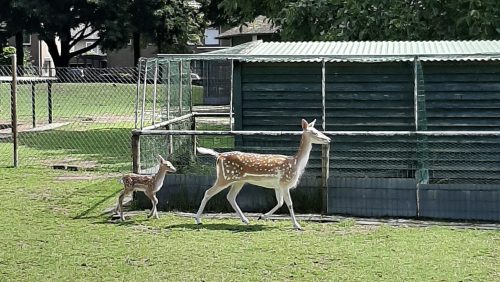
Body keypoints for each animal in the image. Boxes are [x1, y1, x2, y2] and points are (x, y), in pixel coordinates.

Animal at [194, 118, 328, 230]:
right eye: (314, 132)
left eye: (318, 130)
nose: (328, 139)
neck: (295, 163)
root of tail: (219, 155)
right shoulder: (285, 182)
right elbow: (289, 204)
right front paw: (297, 225)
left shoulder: (278, 185)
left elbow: (280, 203)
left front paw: (262, 216)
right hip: (225, 177)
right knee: (208, 192)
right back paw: (198, 219)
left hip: (239, 180)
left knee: (230, 196)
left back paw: (245, 220)